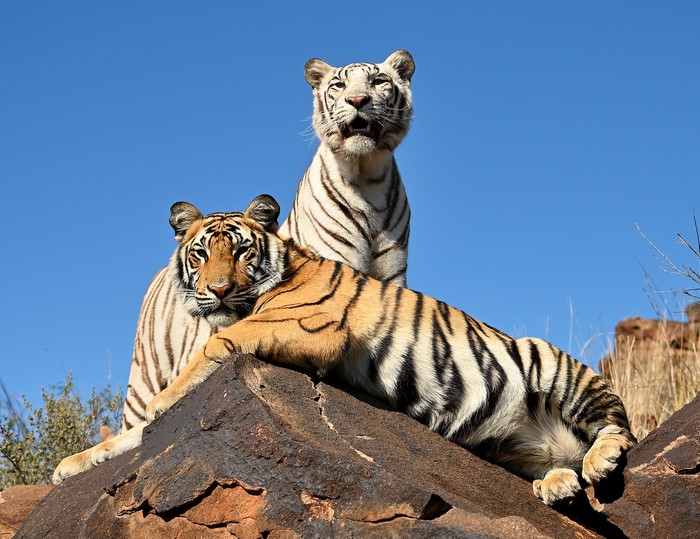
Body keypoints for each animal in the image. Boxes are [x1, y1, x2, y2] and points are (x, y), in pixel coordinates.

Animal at [54, 197, 636, 506]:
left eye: (240, 251)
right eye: (200, 253)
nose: (217, 290)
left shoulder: (308, 326)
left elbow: (213, 348)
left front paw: (161, 402)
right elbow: (129, 437)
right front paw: (69, 466)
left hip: (553, 364)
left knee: (618, 425)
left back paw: (600, 460)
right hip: (506, 445)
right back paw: (558, 485)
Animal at [121, 50, 415, 431]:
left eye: (379, 82)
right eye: (338, 85)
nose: (357, 100)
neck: (368, 179)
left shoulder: (393, 277)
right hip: (143, 380)